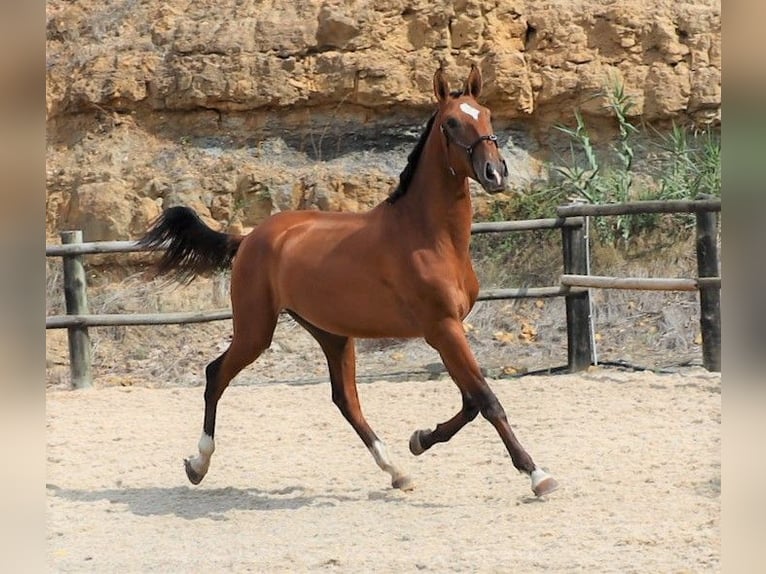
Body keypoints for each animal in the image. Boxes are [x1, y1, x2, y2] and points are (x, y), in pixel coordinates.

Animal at [140, 65, 560, 500]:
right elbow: (486, 400)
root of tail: (250, 237)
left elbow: (471, 401)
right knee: (215, 376)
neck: (428, 237)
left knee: (346, 400)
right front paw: (537, 474)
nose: (496, 173)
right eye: (451, 123)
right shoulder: (442, 329)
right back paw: (197, 464)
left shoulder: (449, 330)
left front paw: (420, 439)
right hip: (256, 330)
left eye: (487, 114)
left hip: (331, 333)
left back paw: (397, 470)